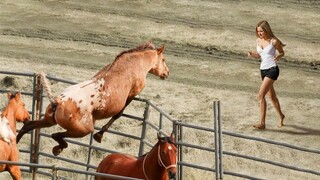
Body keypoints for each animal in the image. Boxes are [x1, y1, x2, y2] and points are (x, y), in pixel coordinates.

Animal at [15, 42, 170, 156]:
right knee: (56, 135)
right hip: (83, 129)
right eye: (163, 60)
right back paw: (58, 148)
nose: (167, 73)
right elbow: (118, 114)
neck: (135, 63)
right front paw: (99, 135)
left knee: (29, 126)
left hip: (48, 120)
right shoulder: (132, 94)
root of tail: (57, 102)